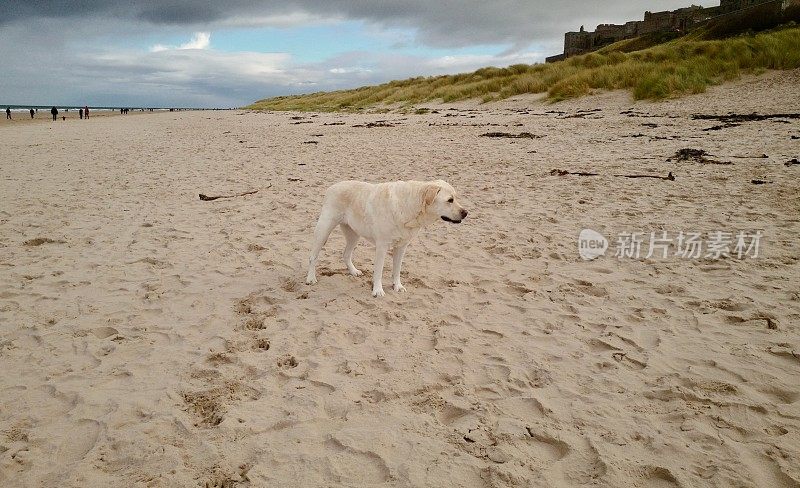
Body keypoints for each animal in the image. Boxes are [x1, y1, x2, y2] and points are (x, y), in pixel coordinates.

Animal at [306, 178, 468, 296]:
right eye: (450, 200)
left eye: (456, 198)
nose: (466, 213)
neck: (410, 206)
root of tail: (331, 187)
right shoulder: (382, 246)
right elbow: (379, 271)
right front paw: (378, 290)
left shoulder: (402, 247)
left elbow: (397, 269)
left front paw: (398, 286)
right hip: (323, 229)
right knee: (313, 257)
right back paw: (310, 278)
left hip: (354, 234)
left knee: (346, 254)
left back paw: (353, 271)